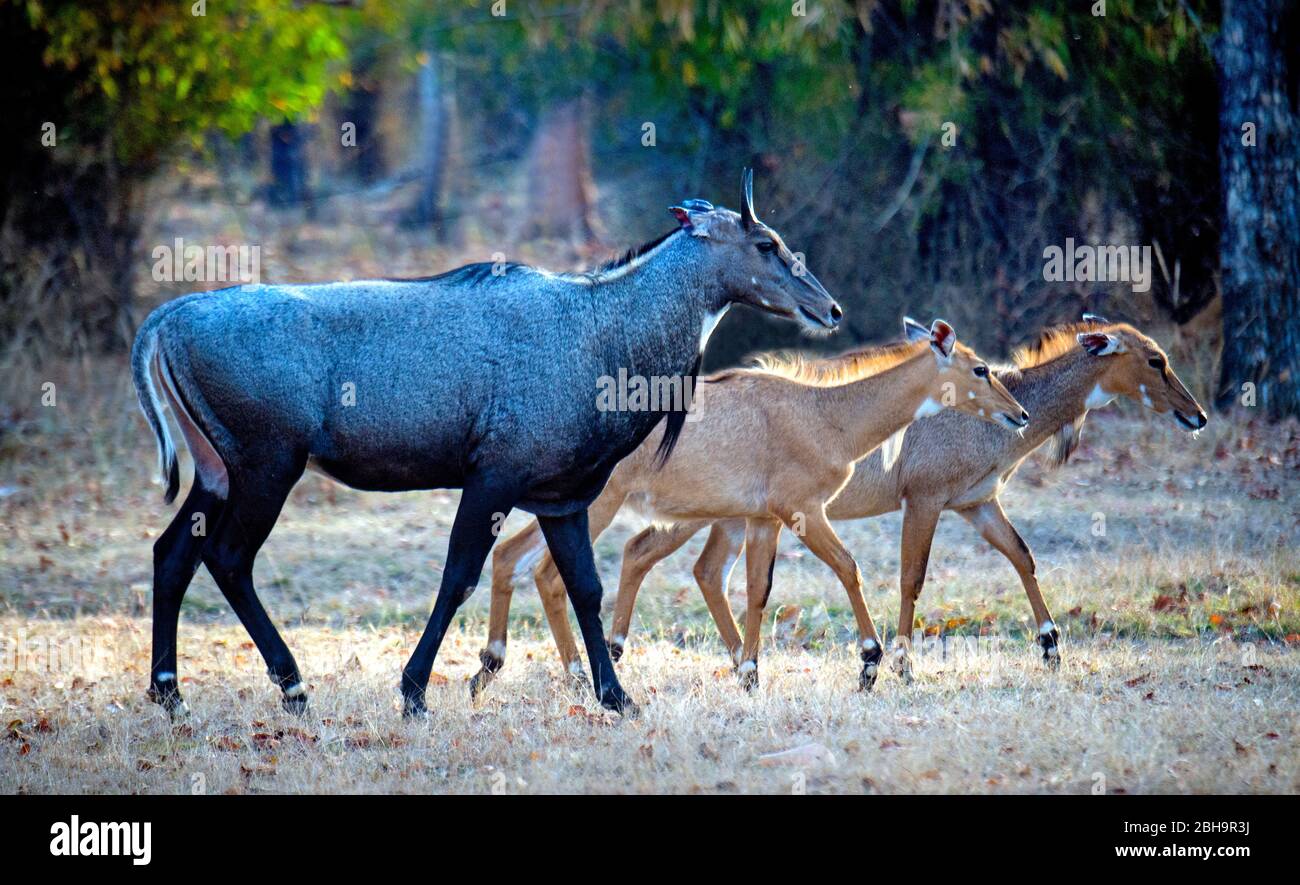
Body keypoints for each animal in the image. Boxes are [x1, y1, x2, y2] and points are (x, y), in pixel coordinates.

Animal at [473, 319, 1029, 696]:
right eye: (980, 368)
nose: (1020, 414)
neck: (830, 417)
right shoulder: (802, 509)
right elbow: (849, 567)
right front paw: (870, 663)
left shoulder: (763, 519)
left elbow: (758, 589)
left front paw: (750, 674)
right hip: (597, 507)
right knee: (543, 570)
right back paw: (564, 673)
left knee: (513, 558)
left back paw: (498, 668)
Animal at [590, 315, 1206, 675]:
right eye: (1155, 360)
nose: (1196, 415)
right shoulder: (925, 499)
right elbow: (913, 576)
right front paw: (901, 665)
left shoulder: (977, 503)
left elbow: (1023, 556)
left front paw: (1052, 644)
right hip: (701, 512)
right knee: (647, 553)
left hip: (728, 517)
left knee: (692, 568)